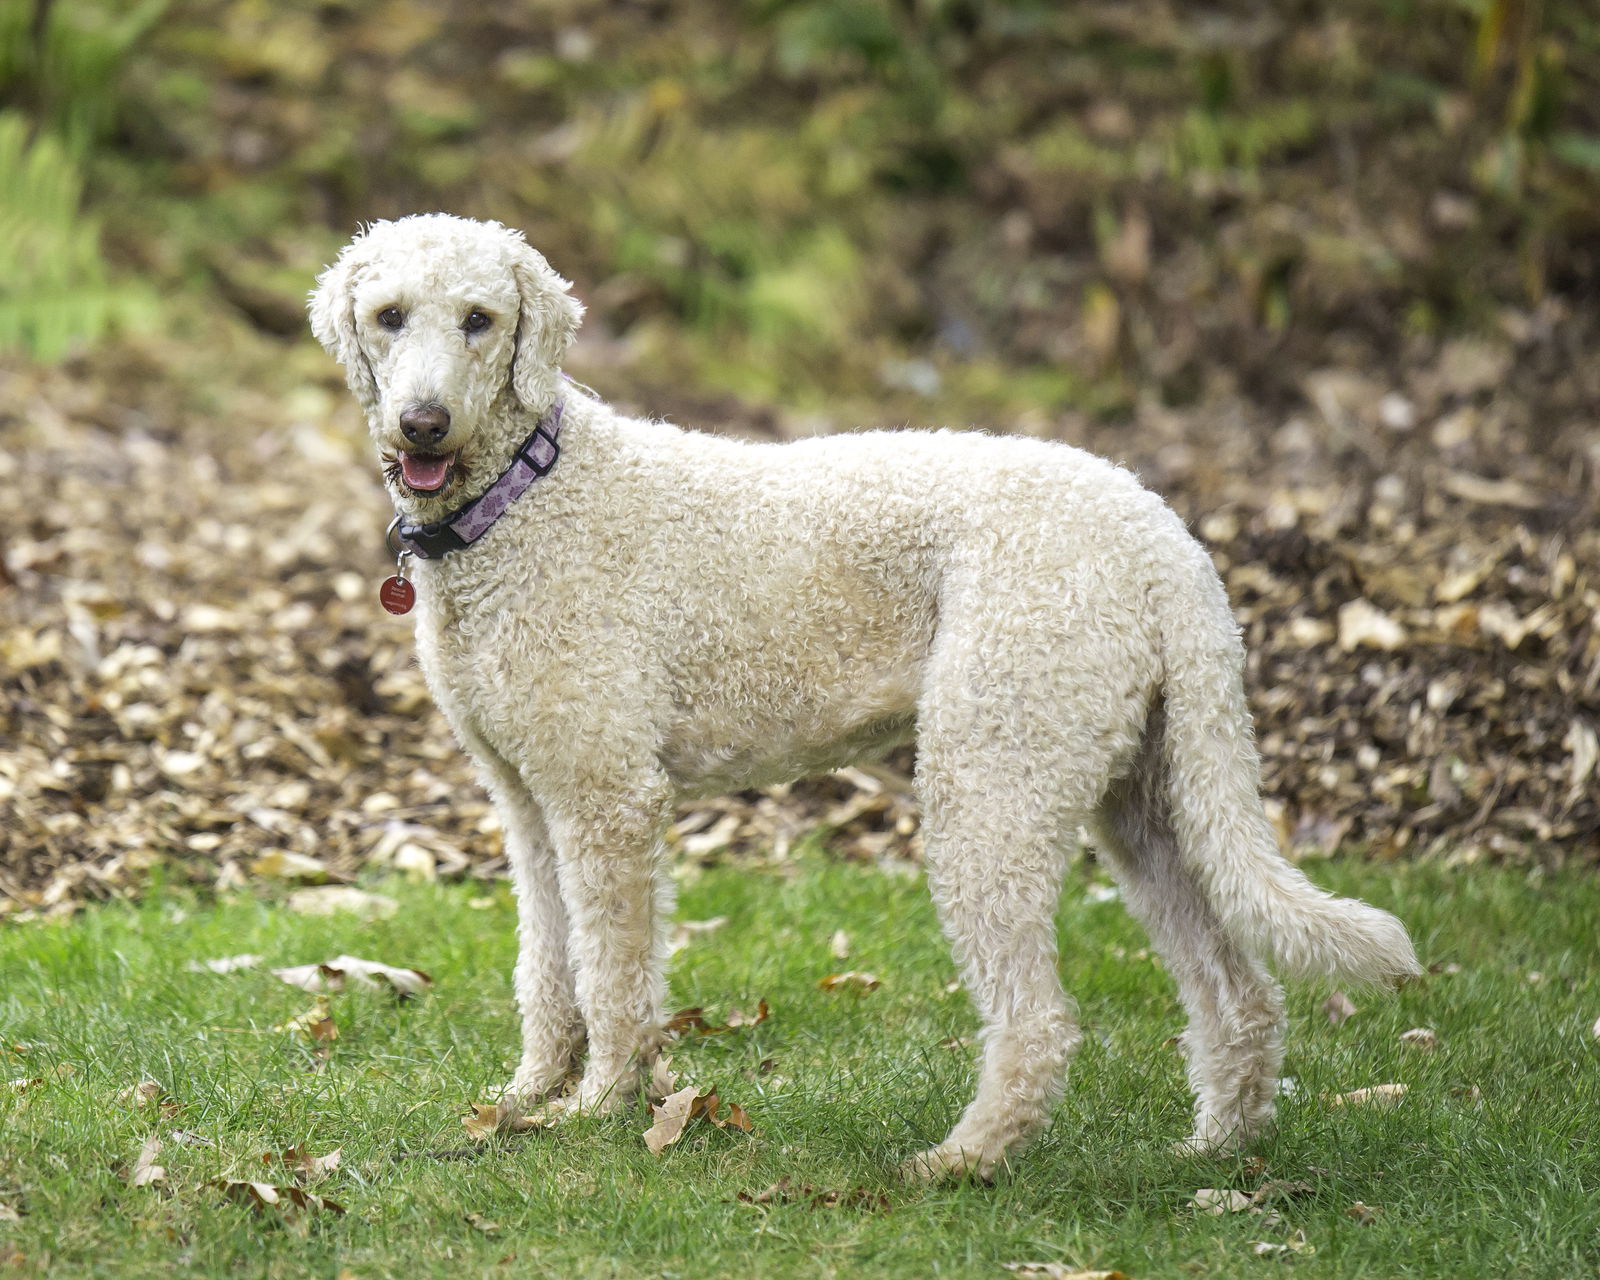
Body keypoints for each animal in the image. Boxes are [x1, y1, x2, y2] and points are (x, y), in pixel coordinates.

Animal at [312, 212, 1427, 1177]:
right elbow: (548, 968)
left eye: (479, 319)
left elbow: (613, 972)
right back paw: (1213, 1151)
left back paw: (960, 1162)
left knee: (1038, 1018)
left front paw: (600, 1108)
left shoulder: (606, 798)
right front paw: (529, 1098)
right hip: (1146, 790)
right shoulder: (528, 801)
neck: (529, 495)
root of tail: (1169, 543)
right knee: (1237, 989)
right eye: (389, 315)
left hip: (994, 775)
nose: (423, 423)